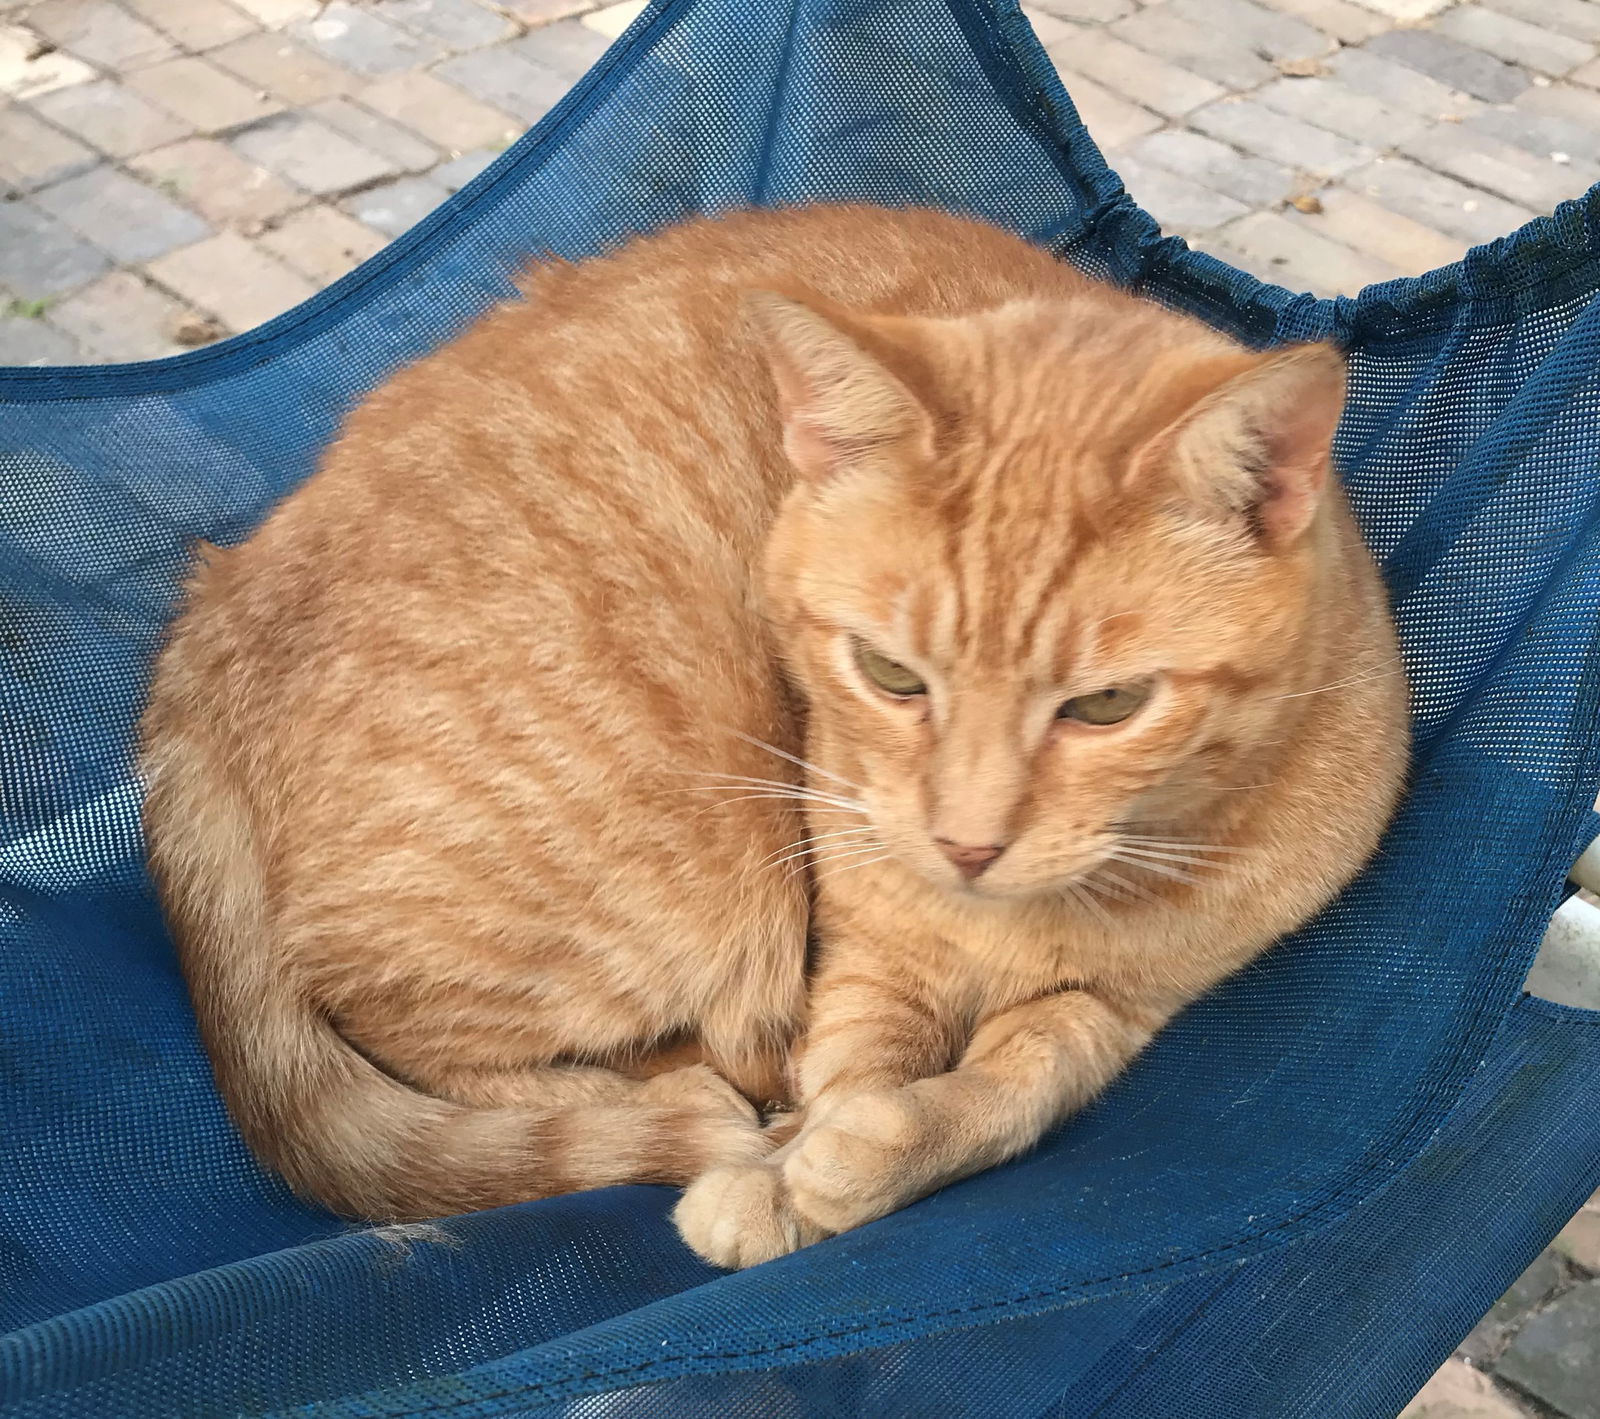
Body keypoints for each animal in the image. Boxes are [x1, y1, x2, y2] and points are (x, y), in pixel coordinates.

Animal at [144, 202, 1408, 1267]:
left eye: (1105, 706)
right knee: (402, 1034)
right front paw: (793, 1174)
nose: (967, 846)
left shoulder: (1132, 1006)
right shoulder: (861, 942)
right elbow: (856, 1059)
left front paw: (859, 1154)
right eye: (889, 675)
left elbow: (1023, 1078)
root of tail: (214, 608)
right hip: (686, 873)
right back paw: (687, 1105)